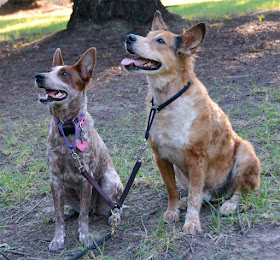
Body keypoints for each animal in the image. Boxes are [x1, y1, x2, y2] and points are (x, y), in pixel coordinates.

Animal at [35, 47, 122, 251]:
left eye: (64, 74)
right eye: (49, 70)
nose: (38, 76)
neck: (67, 128)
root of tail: (95, 209)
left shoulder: (85, 178)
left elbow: (83, 215)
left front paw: (85, 236)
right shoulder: (55, 178)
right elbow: (59, 213)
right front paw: (58, 238)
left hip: (108, 180)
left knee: (113, 207)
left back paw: (114, 218)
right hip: (64, 188)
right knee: (73, 210)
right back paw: (68, 213)